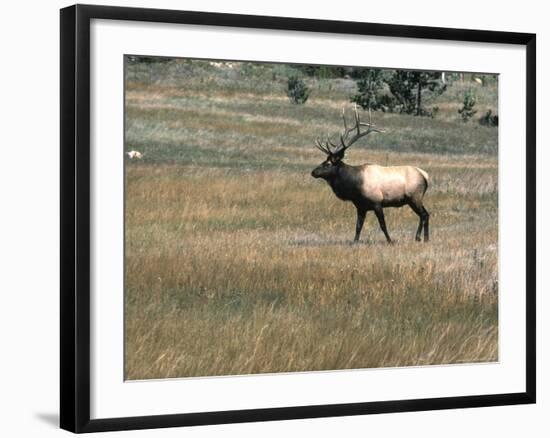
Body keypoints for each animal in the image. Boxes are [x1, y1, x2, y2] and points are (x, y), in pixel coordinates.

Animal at [310, 105, 432, 243]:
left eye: (328, 164)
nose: (313, 172)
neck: (354, 188)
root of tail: (425, 175)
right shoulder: (360, 206)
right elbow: (358, 226)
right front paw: (355, 242)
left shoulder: (377, 202)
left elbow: (383, 225)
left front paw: (390, 241)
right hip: (413, 199)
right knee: (424, 214)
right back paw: (421, 238)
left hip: (415, 196)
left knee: (425, 214)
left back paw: (422, 238)